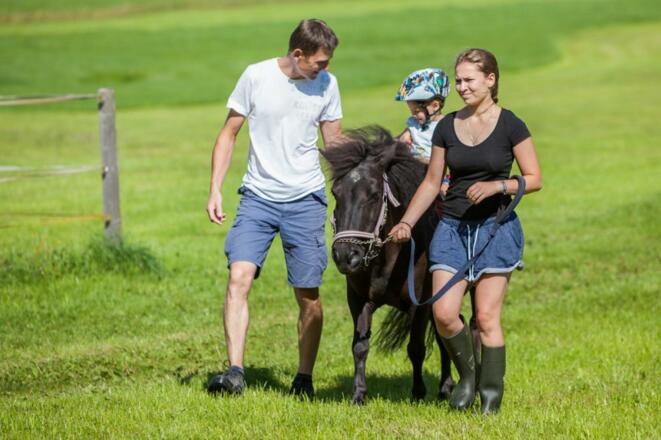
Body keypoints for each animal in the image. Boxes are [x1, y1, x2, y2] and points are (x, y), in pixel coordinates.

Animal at [322, 126, 475, 405]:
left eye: (373, 195)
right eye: (336, 193)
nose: (345, 256)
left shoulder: (421, 303)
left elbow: (416, 348)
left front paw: (418, 393)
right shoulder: (358, 300)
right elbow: (359, 346)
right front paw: (358, 394)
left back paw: (446, 388)